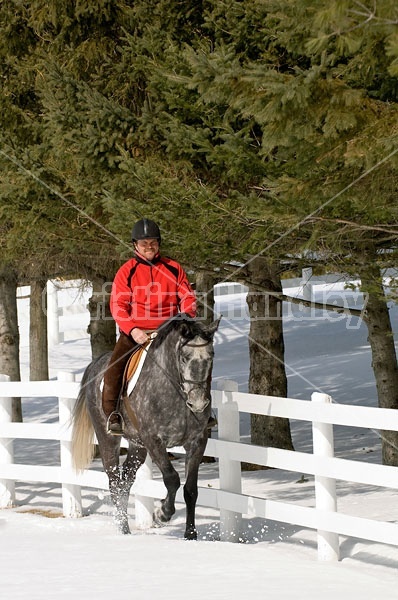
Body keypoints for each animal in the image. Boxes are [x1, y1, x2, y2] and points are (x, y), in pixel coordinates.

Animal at [71, 314, 221, 540]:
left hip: (137, 446)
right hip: (108, 439)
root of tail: (96, 364)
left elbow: (191, 489)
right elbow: (172, 479)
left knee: (125, 481)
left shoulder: (197, 442)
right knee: (114, 481)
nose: (198, 403)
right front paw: (162, 513)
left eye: (211, 356)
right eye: (184, 357)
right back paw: (123, 528)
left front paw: (190, 534)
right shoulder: (154, 440)